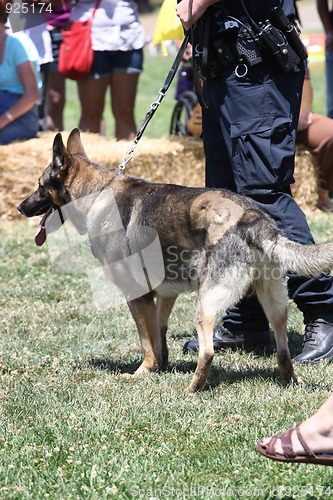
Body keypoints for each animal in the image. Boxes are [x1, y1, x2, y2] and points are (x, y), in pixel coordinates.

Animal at [17, 131, 332, 392]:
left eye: (39, 186)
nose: (20, 207)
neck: (96, 194)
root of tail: (252, 218)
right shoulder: (165, 295)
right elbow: (159, 335)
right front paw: (161, 366)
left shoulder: (137, 297)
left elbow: (147, 342)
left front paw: (142, 372)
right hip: (274, 304)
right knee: (282, 352)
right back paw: (291, 381)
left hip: (205, 304)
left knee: (208, 352)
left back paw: (193, 388)